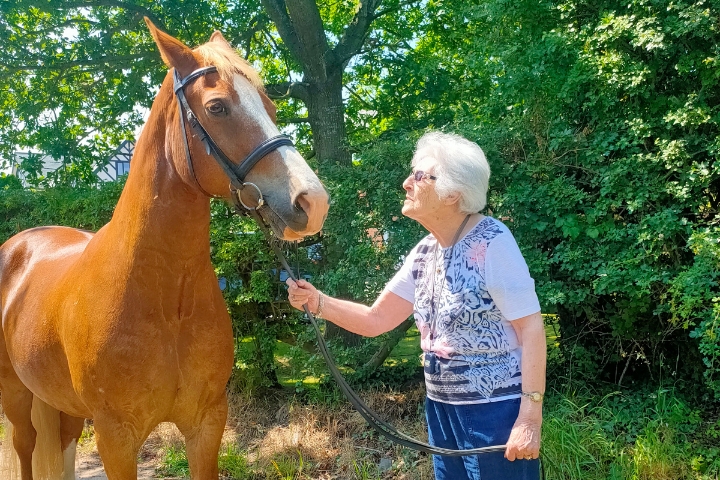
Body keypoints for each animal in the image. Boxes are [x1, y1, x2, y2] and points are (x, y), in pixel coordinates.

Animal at [0, 18, 329, 480]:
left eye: (270, 106)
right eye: (217, 107)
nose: (312, 202)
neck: (165, 294)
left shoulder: (207, 422)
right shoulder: (116, 437)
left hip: (59, 402)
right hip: (15, 395)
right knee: (25, 445)